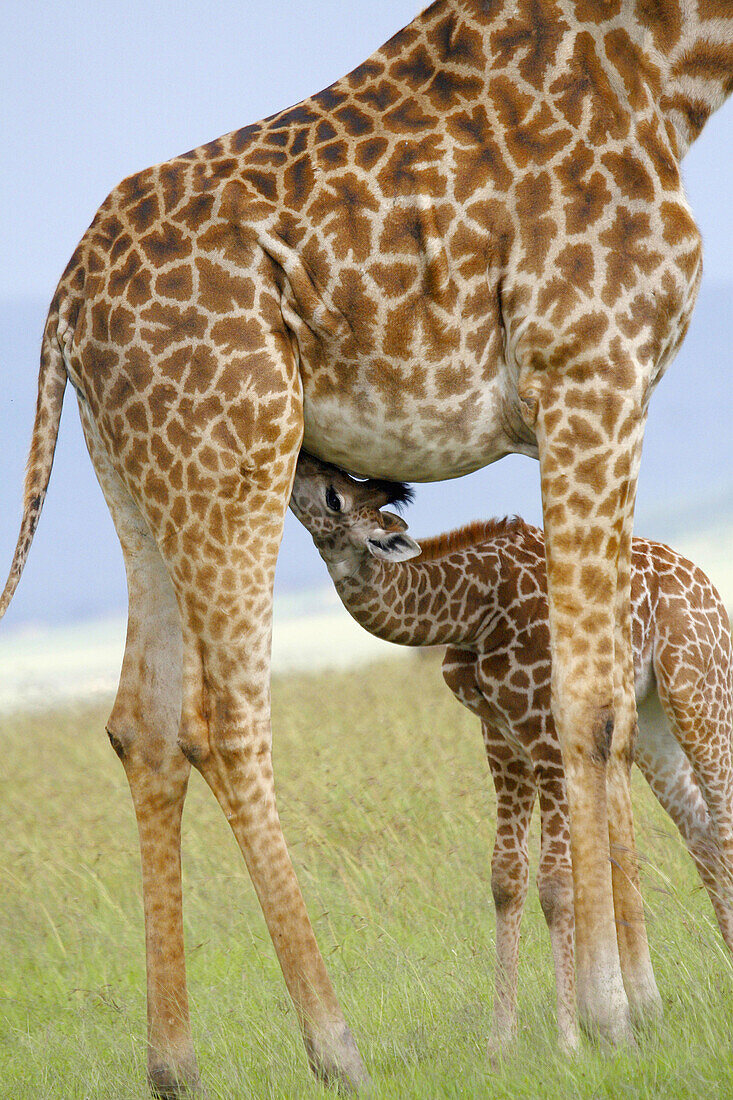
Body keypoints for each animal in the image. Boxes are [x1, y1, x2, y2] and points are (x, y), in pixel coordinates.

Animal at [288, 451, 730, 1051]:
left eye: (335, 495)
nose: (298, 462)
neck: (475, 610)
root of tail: (704, 579)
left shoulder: (548, 738)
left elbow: (557, 884)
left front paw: (570, 1040)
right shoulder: (501, 740)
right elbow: (505, 879)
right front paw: (502, 1043)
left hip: (697, 688)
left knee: (720, 817)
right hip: (653, 721)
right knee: (699, 827)